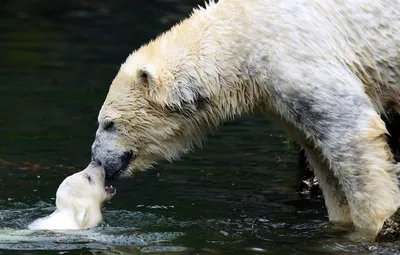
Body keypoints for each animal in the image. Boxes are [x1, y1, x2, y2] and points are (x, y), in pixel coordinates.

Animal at [91, 0, 400, 241]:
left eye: (109, 123)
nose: (98, 160)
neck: (242, 35)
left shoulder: (295, 59)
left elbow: (351, 130)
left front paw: (375, 224)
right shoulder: (276, 97)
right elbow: (319, 152)